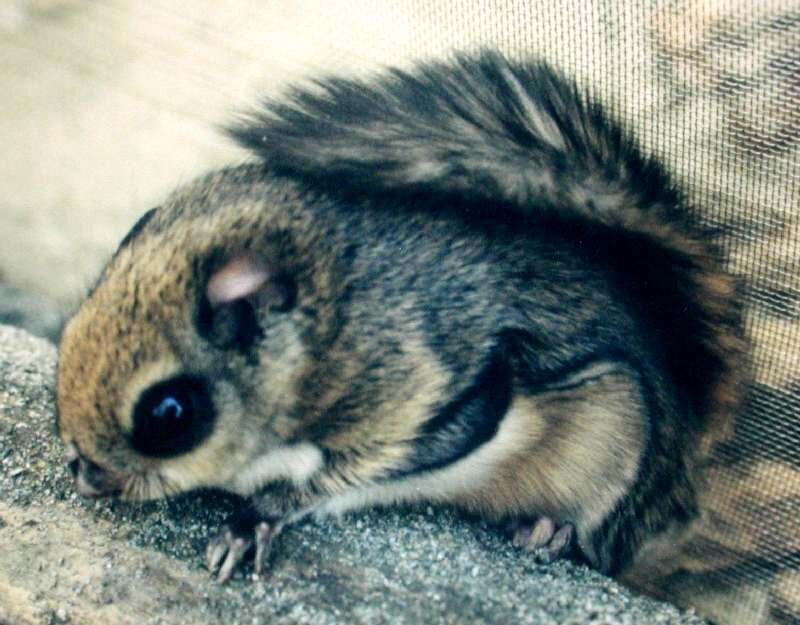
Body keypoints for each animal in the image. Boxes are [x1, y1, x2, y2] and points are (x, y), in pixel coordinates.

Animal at [56, 52, 746, 593]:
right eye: (67, 327)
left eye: (170, 414)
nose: (85, 477)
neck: (329, 328)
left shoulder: (432, 394)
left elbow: (342, 477)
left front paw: (256, 519)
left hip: (615, 444)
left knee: (595, 546)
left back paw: (550, 532)